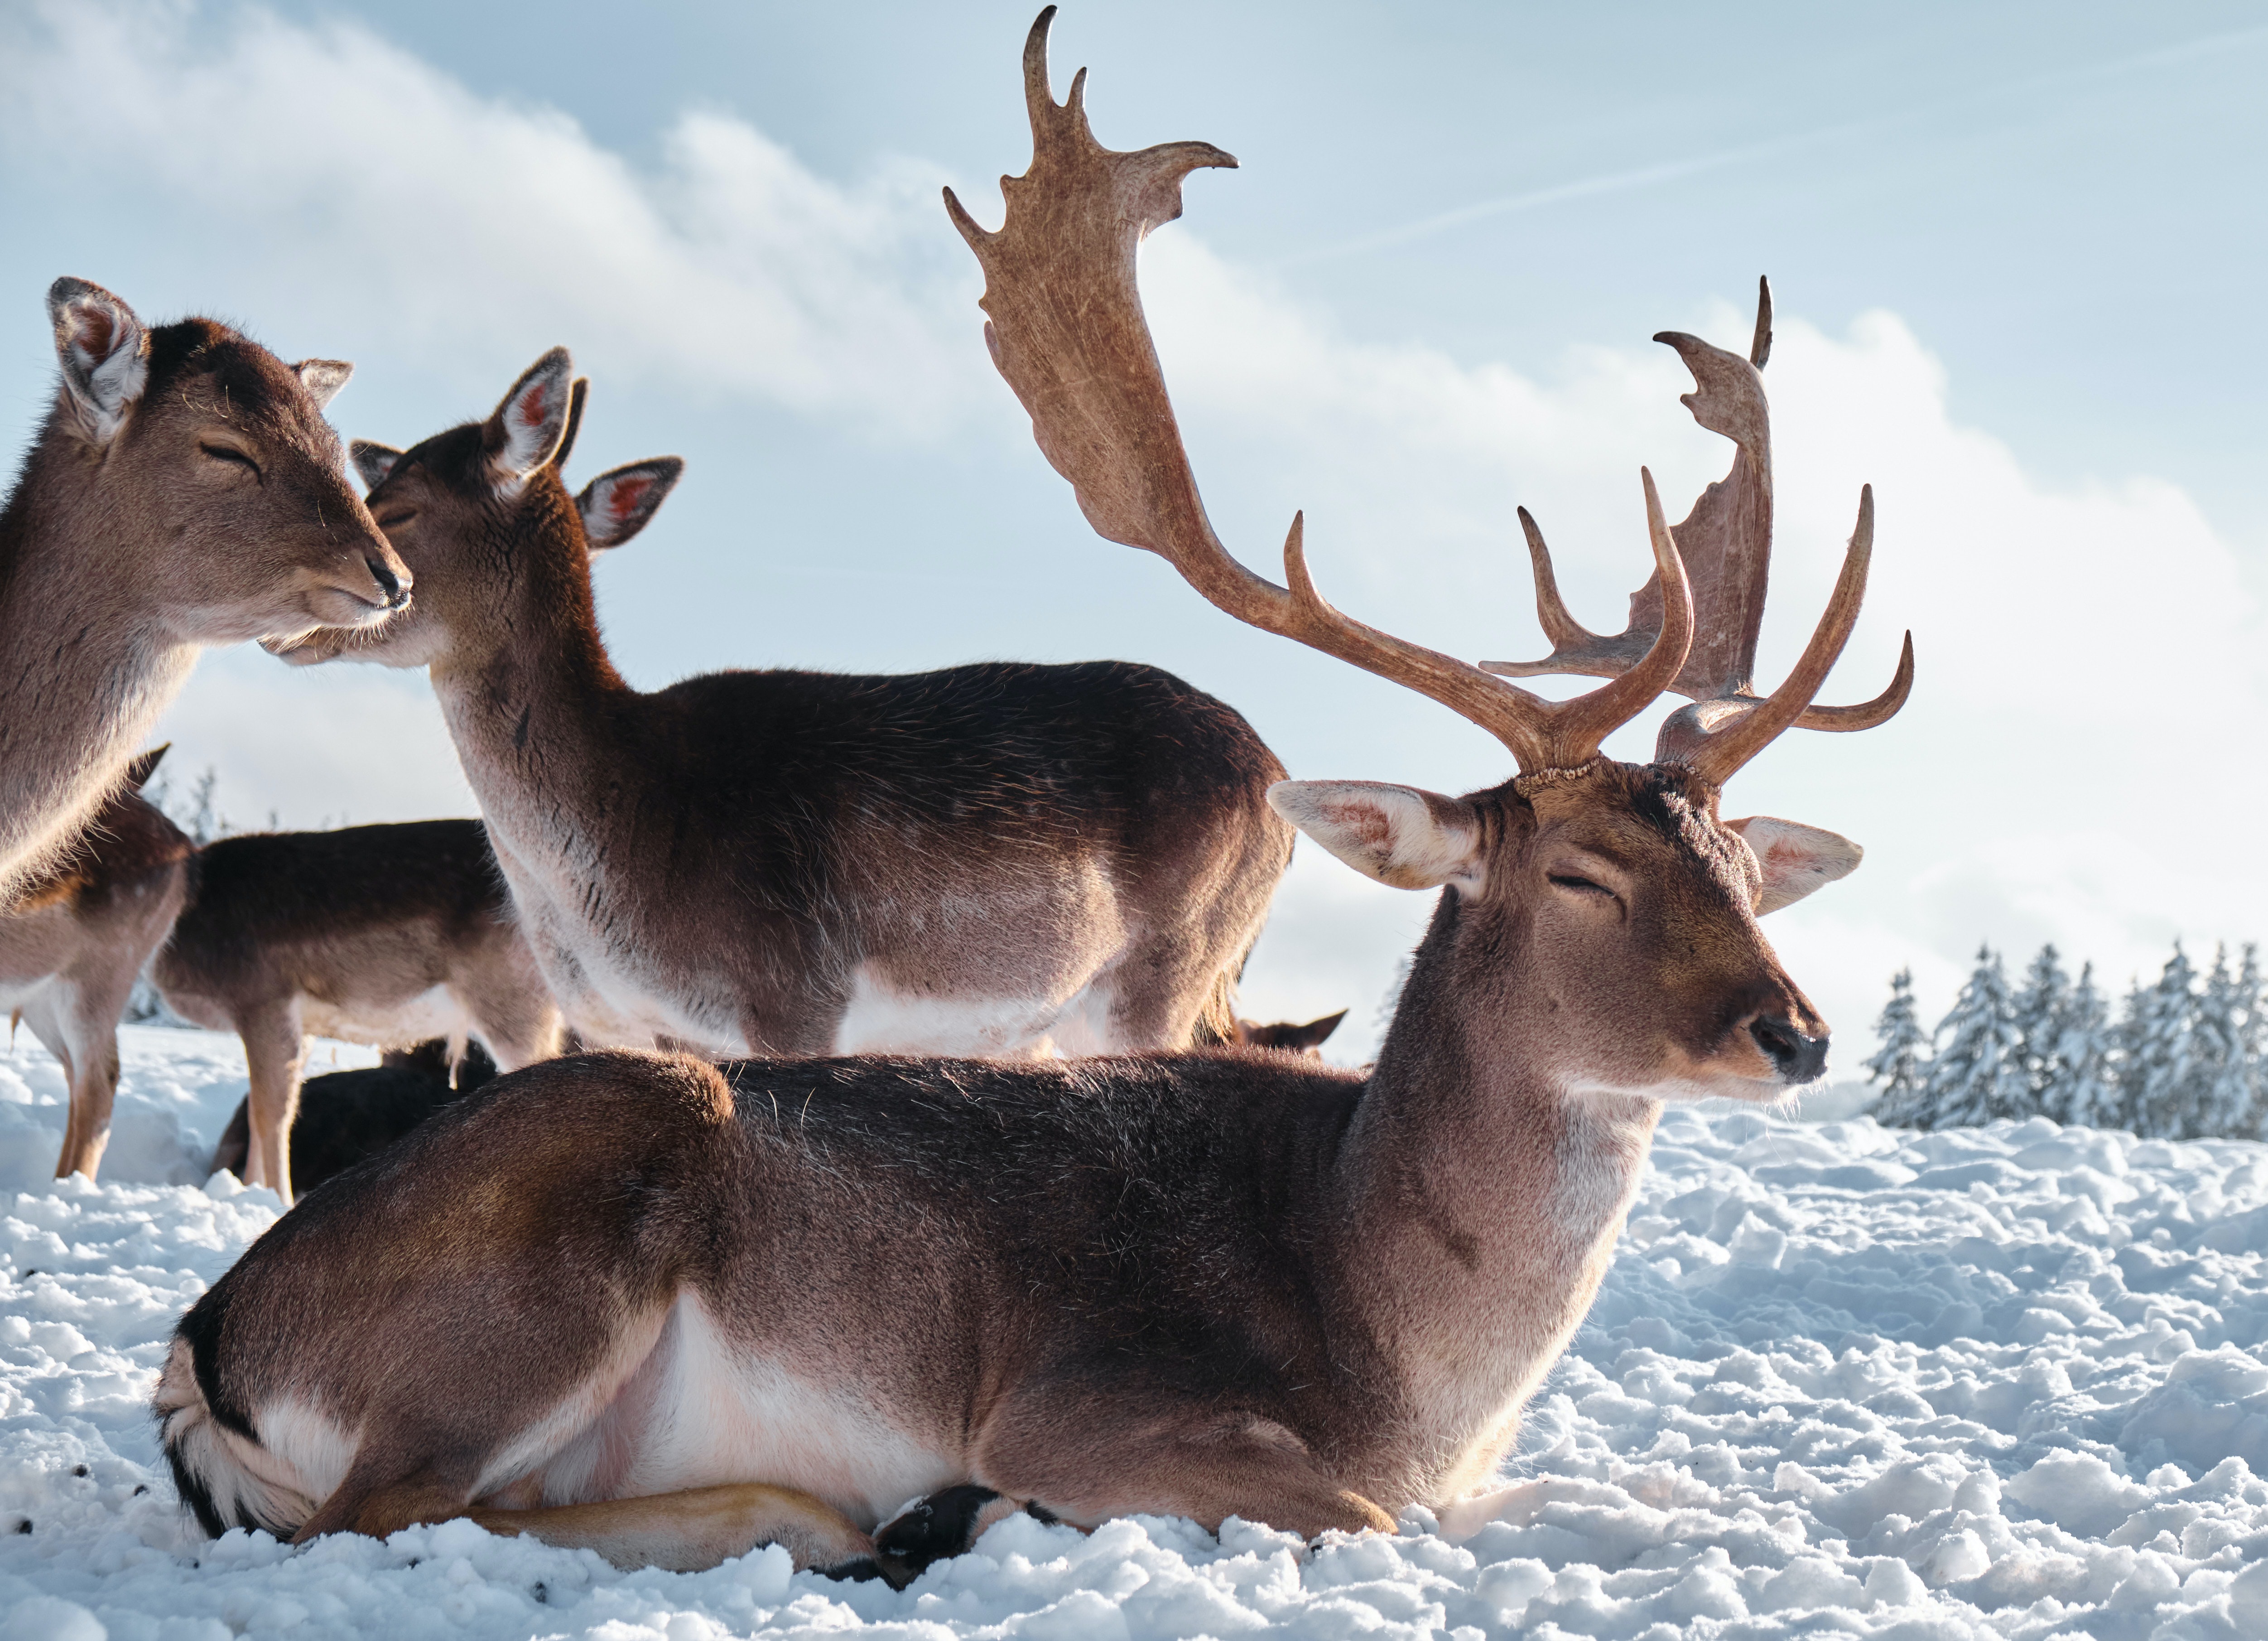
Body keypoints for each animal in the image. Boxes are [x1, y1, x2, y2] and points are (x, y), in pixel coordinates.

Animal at [1, 744, 193, 1180]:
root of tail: (186, 846)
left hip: (103, 969)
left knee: (100, 1080)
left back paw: (70, 1186)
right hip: (41, 994)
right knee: (76, 1076)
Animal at [260, 343, 1297, 1067]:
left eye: (394, 508)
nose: (276, 623)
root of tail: (1279, 778)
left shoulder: (794, 993)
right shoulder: (636, 1026)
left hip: (1163, 973)